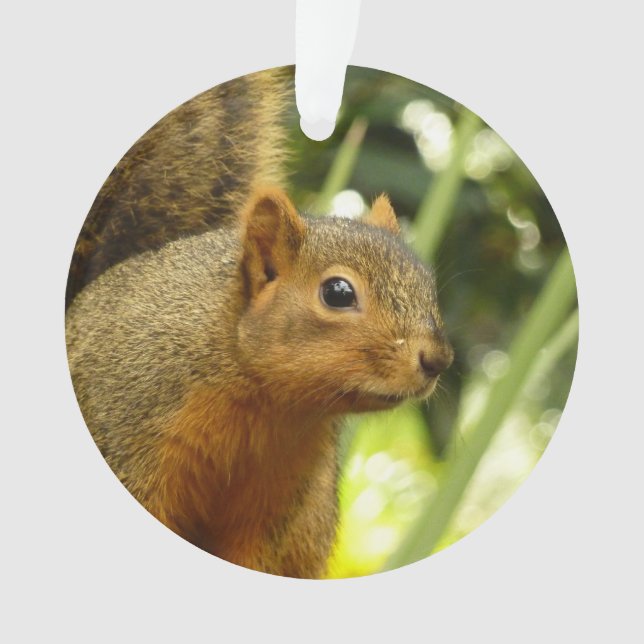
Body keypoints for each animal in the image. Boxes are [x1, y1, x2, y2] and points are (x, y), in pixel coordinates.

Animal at [65, 66, 454, 578]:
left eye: (428, 284)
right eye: (337, 293)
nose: (438, 359)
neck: (267, 406)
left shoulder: (279, 499)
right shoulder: (130, 431)